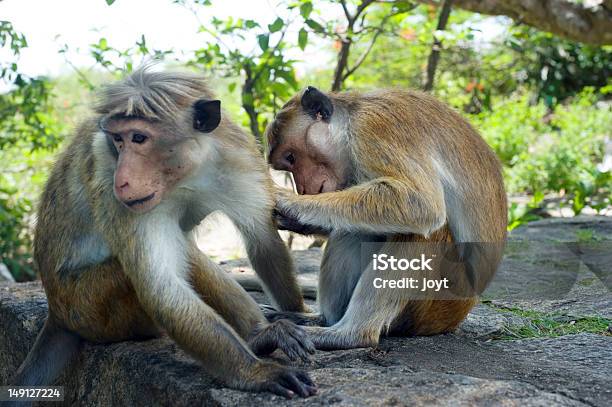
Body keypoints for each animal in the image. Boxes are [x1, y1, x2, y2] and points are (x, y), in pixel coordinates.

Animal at [5, 67, 320, 402]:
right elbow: (162, 289)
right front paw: (254, 372)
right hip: (88, 305)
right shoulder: (112, 176)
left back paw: (259, 336)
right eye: (117, 140)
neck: (186, 173)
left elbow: (263, 241)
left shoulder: (238, 155)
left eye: (139, 138)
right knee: (180, 256)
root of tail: (56, 313)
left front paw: (300, 315)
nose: (122, 180)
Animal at [256, 85, 506, 350]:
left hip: (440, 300)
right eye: (288, 164)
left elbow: (423, 204)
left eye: (291, 157)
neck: (351, 119)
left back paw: (349, 334)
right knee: (354, 230)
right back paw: (322, 320)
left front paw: (289, 202)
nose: (302, 189)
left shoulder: (373, 130)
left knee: (422, 234)